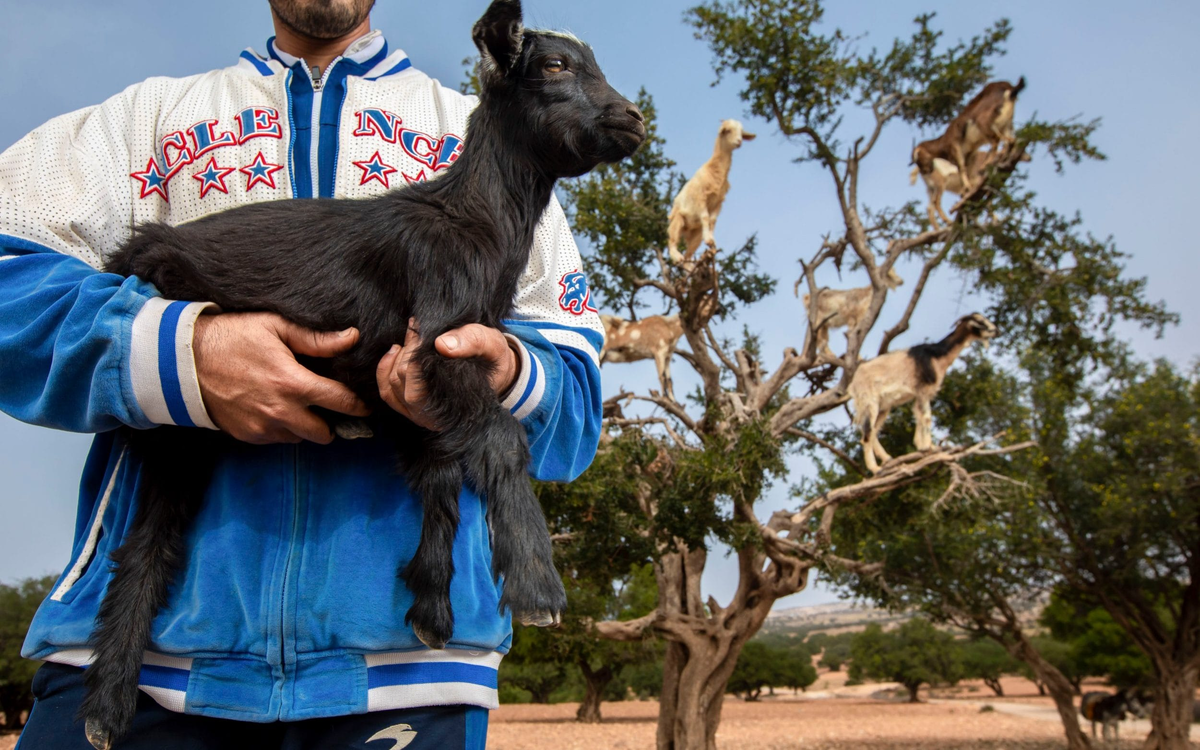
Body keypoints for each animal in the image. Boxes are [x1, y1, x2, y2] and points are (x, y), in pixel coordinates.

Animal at [662, 118, 753, 265]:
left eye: (741, 131)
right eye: (727, 130)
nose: (739, 141)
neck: (714, 171)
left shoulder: (719, 202)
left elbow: (713, 220)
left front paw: (711, 242)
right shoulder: (701, 198)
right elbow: (705, 217)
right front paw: (709, 239)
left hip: (696, 233)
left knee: (688, 255)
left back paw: (690, 266)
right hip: (677, 221)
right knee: (672, 242)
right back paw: (677, 257)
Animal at [849, 312, 998, 470]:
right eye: (979, 321)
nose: (997, 331)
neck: (936, 356)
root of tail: (854, 382)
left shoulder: (918, 394)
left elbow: (919, 416)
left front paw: (924, 447)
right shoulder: (924, 390)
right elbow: (926, 417)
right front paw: (928, 448)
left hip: (883, 407)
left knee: (873, 431)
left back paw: (888, 459)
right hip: (869, 402)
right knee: (867, 433)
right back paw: (875, 469)